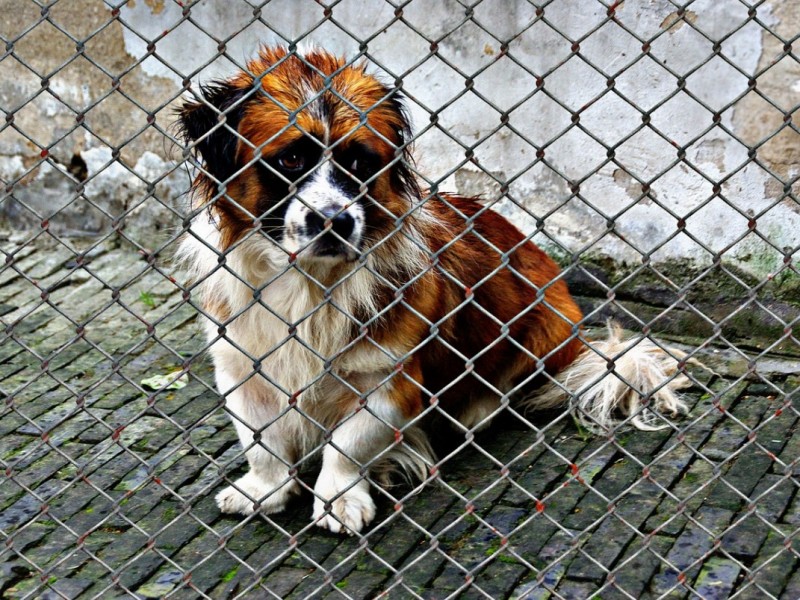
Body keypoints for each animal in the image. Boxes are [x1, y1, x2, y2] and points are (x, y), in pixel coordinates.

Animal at [178, 45, 692, 536]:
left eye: (359, 162)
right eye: (289, 159)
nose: (335, 221)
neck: (310, 284)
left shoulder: (390, 382)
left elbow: (346, 447)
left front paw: (341, 498)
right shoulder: (241, 368)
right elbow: (261, 443)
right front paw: (263, 490)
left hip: (544, 328)